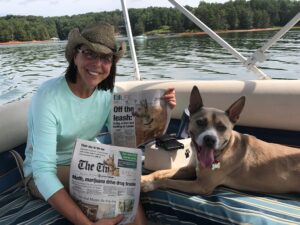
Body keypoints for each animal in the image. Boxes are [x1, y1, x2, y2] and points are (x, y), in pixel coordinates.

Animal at [142, 85, 300, 194]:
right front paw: (144, 178)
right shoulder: (191, 169)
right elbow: (160, 172)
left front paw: (150, 185)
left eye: (222, 127)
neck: (224, 150)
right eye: (200, 122)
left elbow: (167, 180)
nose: (210, 140)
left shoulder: (200, 185)